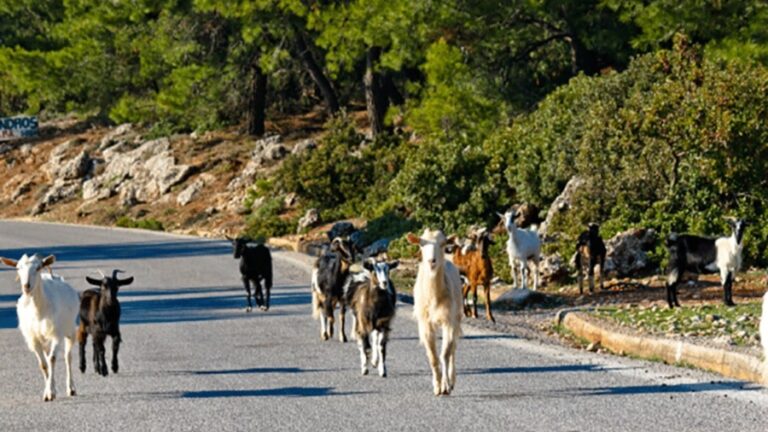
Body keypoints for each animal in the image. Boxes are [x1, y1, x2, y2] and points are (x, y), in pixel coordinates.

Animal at [0, 253, 79, 402]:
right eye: (18, 268)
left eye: (37, 268)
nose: (26, 286)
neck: (39, 310)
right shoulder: (34, 338)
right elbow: (43, 365)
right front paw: (49, 392)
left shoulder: (56, 333)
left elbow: (52, 359)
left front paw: (50, 392)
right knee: (49, 357)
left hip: (70, 329)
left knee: (68, 357)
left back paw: (71, 388)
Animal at [408, 230, 462, 394]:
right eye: (421, 243)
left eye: (443, 243)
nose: (432, 261)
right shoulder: (425, 323)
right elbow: (433, 357)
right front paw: (437, 386)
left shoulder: (448, 320)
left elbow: (445, 354)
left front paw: (446, 386)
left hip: (457, 315)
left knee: (453, 348)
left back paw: (452, 379)